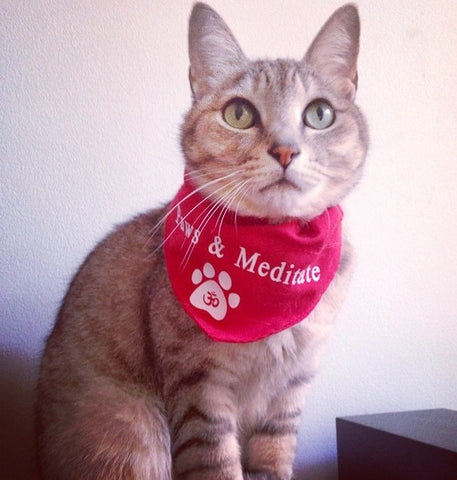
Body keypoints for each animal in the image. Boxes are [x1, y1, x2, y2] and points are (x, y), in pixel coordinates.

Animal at [37, 3, 368, 480]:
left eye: (320, 114)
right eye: (239, 114)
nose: (286, 150)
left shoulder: (290, 391)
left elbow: (273, 459)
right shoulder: (199, 387)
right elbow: (216, 462)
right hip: (133, 425)